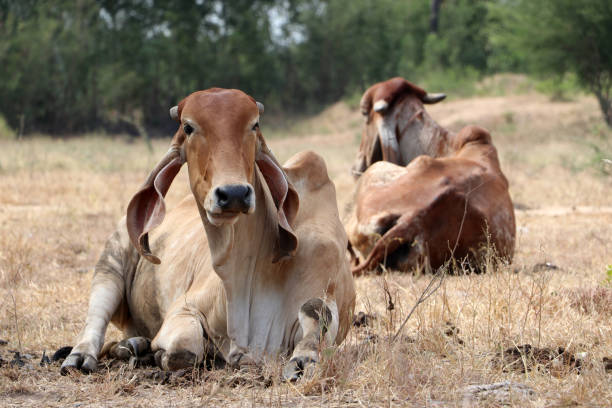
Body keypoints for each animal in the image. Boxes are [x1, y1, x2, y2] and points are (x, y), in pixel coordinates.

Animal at [59, 87, 356, 380]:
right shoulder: (184, 309)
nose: (234, 193)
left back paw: (134, 345)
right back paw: (88, 355)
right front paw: (157, 354)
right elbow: (184, 349)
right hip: (110, 261)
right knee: (96, 318)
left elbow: (316, 313)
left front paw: (304, 359)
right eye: (188, 127)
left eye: (254, 125)